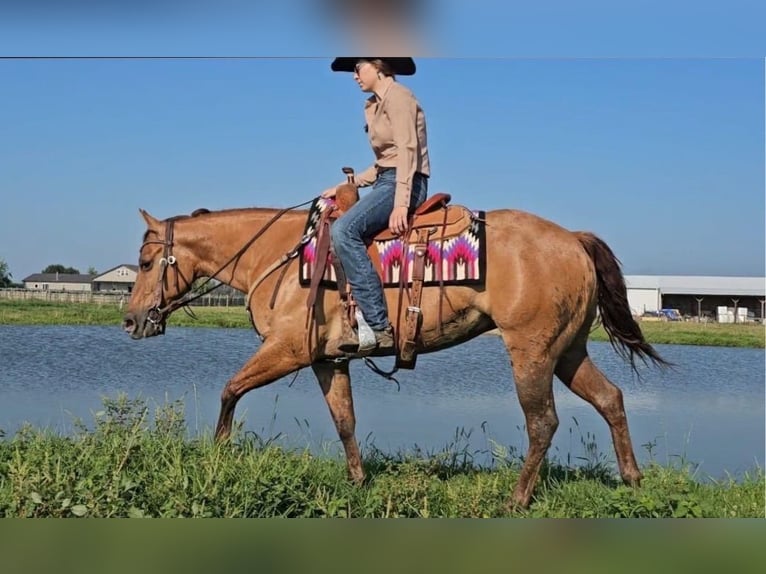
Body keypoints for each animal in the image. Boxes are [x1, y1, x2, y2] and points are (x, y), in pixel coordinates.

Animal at [121, 195, 668, 510]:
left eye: (146, 263)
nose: (131, 320)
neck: (279, 255)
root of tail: (573, 240)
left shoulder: (287, 350)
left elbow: (230, 389)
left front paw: (218, 453)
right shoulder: (328, 360)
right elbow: (344, 420)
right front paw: (358, 481)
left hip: (531, 352)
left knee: (543, 423)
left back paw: (517, 499)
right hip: (568, 352)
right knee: (611, 399)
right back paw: (633, 481)